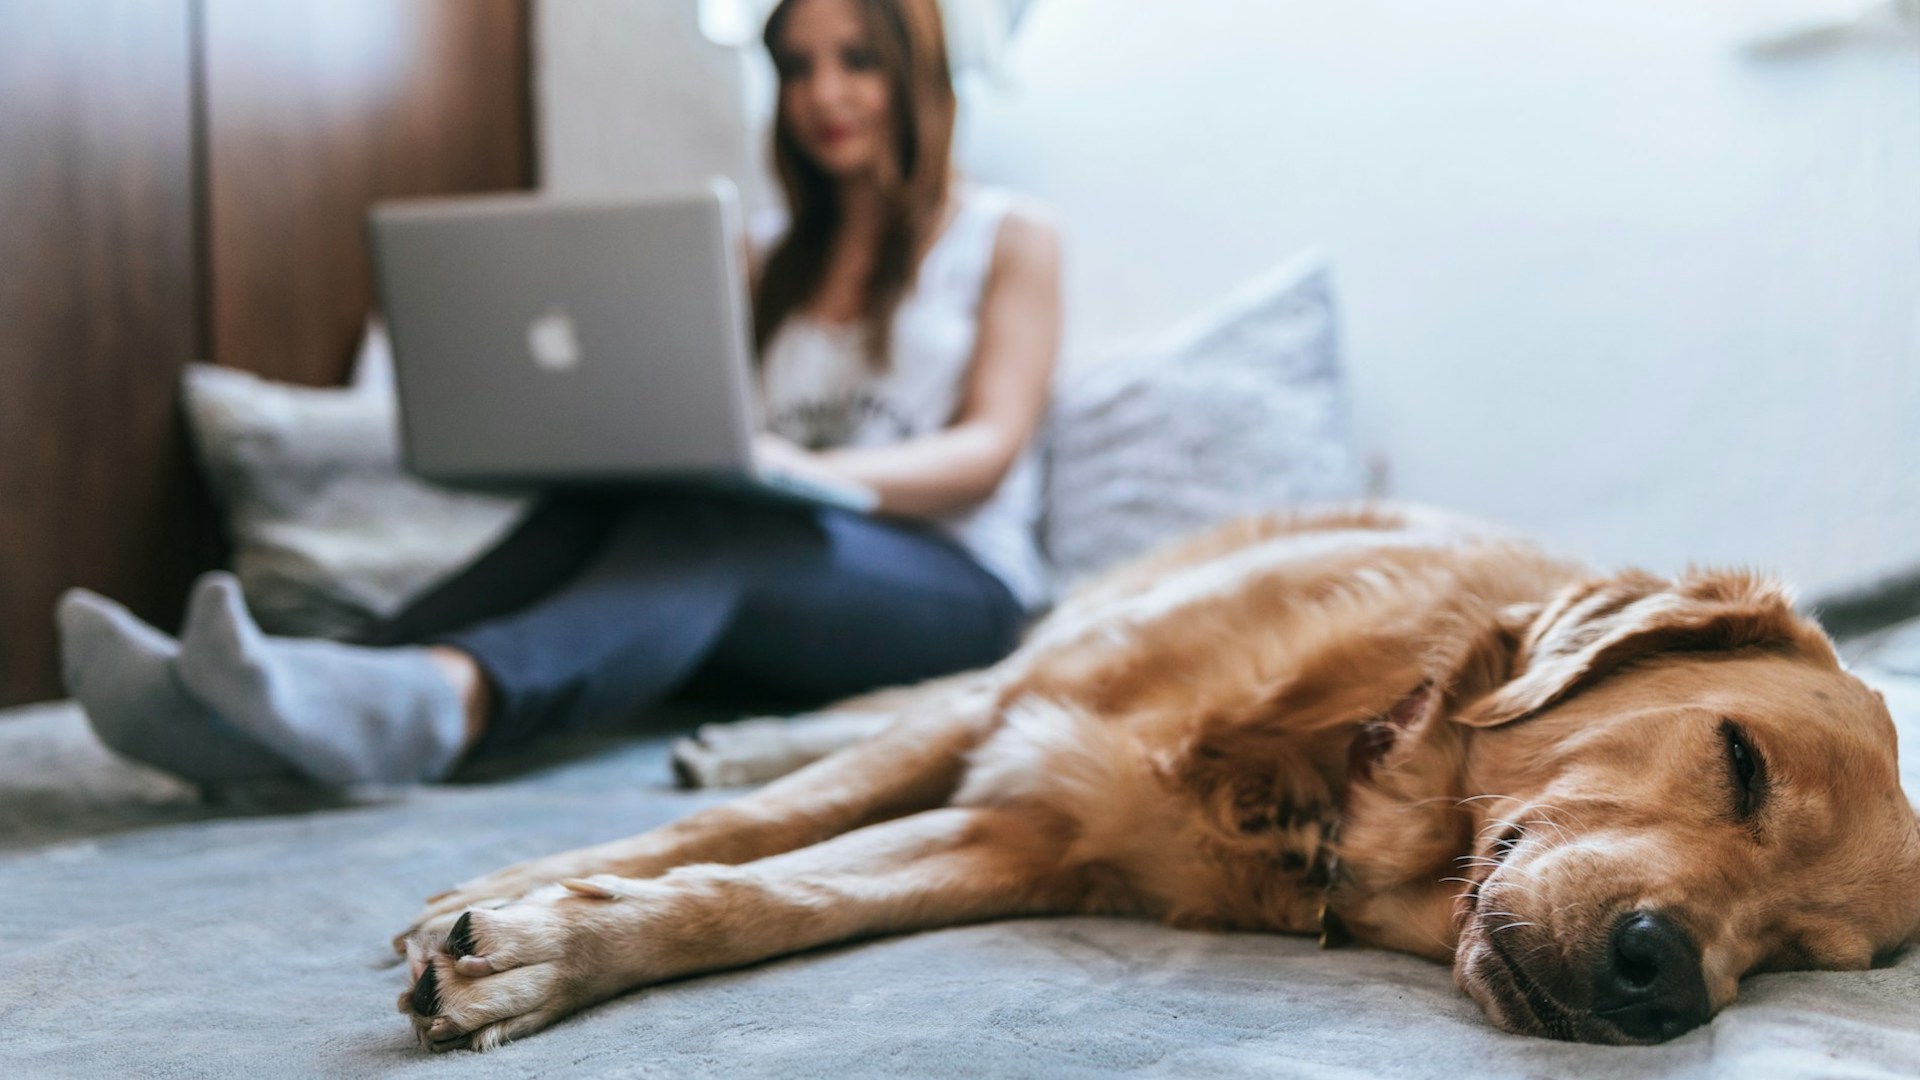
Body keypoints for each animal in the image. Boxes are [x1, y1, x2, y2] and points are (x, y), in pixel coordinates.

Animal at [393, 507, 1920, 1045]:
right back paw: (736, 734)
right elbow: (770, 822)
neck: (1336, 762)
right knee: (878, 712)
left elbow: (771, 897)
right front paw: (524, 891)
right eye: (1738, 760)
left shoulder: (1018, 840)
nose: (1662, 979)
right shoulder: (1017, 718)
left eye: (1805, 956)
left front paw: (546, 949)